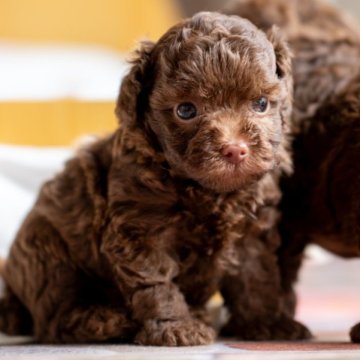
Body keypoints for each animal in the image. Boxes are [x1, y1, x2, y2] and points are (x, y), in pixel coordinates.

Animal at [0, 11, 306, 344]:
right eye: (185, 110)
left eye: (261, 103)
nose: (235, 149)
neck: (206, 191)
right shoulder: (140, 229)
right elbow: (156, 282)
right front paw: (177, 327)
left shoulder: (251, 228)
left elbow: (257, 277)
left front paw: (268, 324)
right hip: (46, 252)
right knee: (55, 318)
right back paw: (103, 321)